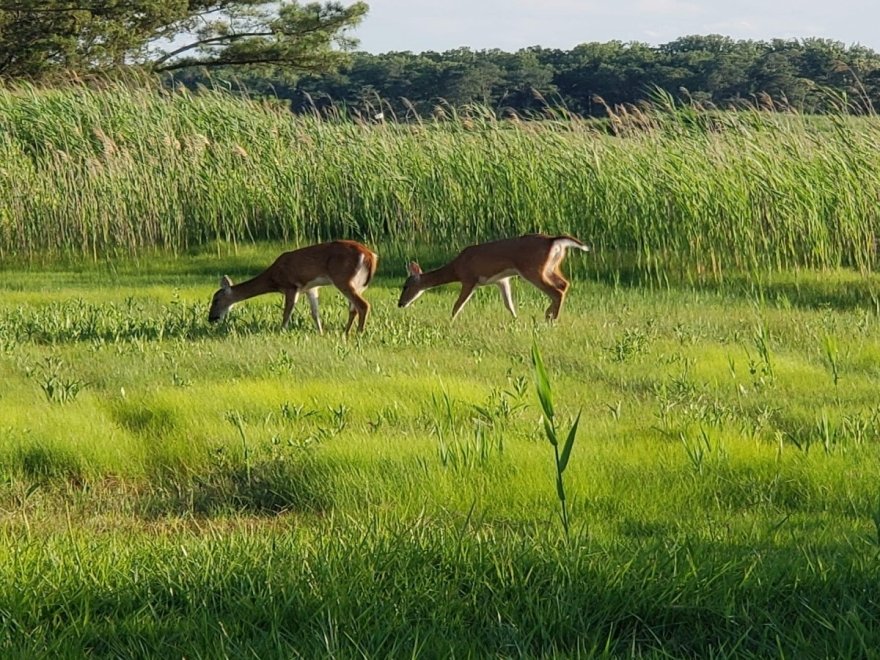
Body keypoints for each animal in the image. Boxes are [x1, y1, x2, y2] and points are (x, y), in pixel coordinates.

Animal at [213, 238, 382, 336]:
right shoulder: (310, 288)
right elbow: (315, 313)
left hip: (343, 278)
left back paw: (359, 334)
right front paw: (321, 333)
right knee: (354, 308)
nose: (211, 318)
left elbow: (287, 312)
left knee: (363, 305)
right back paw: (345, 333)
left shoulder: (291, 286)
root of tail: (371, 256)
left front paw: (281, 332)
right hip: (359, 284)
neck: (273, 279)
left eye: (216, 300)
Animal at [398, 235, 592, 322]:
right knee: (564, 284)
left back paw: (550, 317)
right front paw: (515, 319)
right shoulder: (501, 280)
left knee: (557, 290)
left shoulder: (470, 278)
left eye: (405, 286)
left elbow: (458, 305)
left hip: (532, 269)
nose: (400, 304)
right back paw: (550, 314)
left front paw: (450, 321)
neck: (456, 267)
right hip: (551, 267)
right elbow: (508, 303)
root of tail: (553, 241)